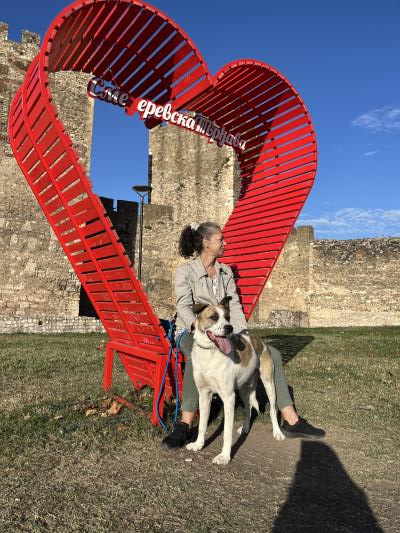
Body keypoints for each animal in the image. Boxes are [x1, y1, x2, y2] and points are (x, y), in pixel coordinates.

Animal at [186, 296, 285, 465]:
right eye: (214, 317)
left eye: (227, 317)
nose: (229, 328)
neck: (210, 353)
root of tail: (258, 339)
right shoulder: (204, 395)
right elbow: (202, 425)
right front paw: (198, 444)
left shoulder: (228, 397)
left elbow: (226, 432)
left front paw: (224, 456)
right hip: (245, 390)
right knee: (249, 408)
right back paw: (245, 428)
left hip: (269, 384)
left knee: (272, 409)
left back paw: (277, 433)